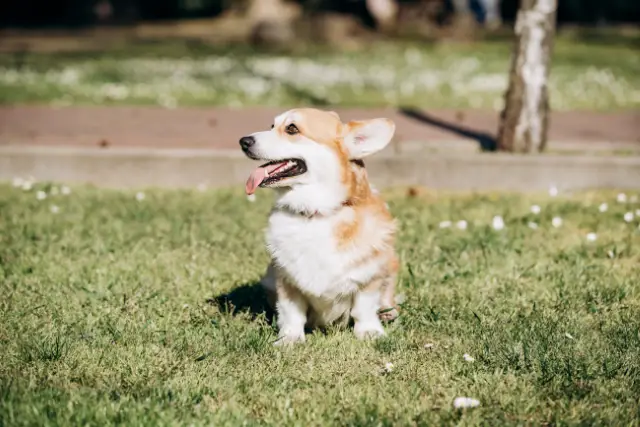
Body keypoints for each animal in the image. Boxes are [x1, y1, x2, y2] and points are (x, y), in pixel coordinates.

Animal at [240, 108, 400, 346]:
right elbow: (291, 312)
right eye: (272, 126)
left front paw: (369, 332)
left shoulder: (369, 275)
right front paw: (289, 338)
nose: (243, 141)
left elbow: (363, 308)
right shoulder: (285, 279)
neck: (315, 213)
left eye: (292, 129)